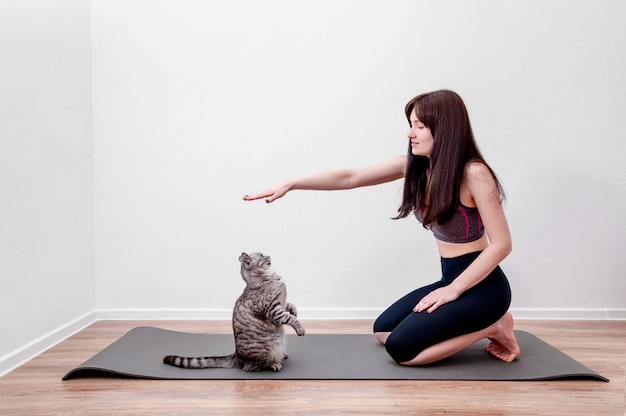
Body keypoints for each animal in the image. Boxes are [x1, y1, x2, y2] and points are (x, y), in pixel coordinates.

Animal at [163, 252, 304, 372]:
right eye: (261, 255)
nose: (269, 256)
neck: (270, 276)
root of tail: (236, 356)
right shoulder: (274, 310)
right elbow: (291, 319)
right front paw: (300, 329)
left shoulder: (282, 304)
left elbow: (290, 307)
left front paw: (294, 311)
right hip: (268, 349)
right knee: (252, 366)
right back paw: (275, 364)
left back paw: (283, 355)